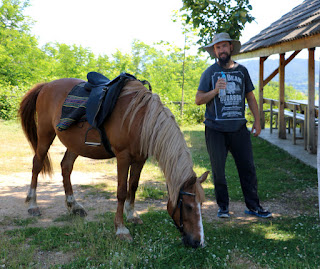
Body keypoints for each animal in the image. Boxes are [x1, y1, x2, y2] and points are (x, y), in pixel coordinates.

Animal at [18, 77, 209, 247]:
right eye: (189, 206)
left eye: (202, 204)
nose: (198, 243)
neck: (139, 119)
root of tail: (46, 85)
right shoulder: (123, 157)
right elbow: (121, 192)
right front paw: (121, 229)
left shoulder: (140, 159)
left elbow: (133, 186)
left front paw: (132, 215)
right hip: (45, 134)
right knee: (37, 164)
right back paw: (33, 204)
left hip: (74, 144)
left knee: (66, 167)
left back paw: (74, 206)